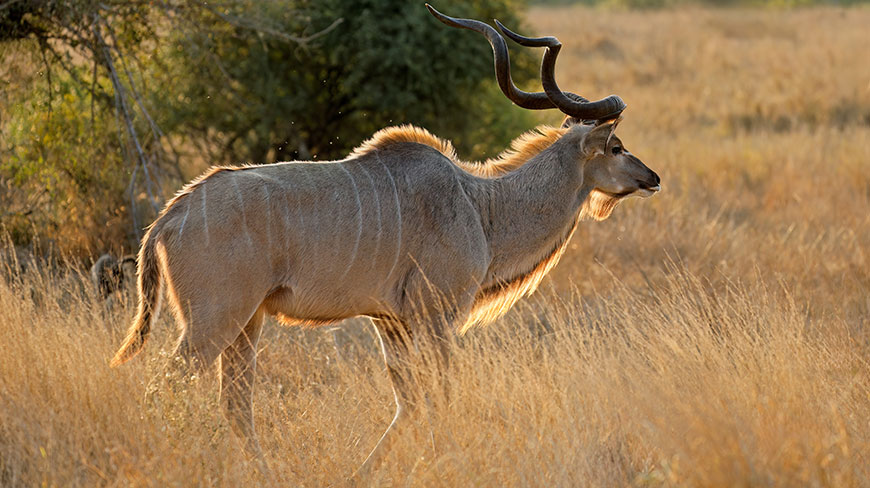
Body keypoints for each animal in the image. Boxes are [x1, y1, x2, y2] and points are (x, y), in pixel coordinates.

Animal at [109, 5, 660, 477]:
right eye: (615, 146)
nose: (652, 178)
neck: (480, 206)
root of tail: (171, 215)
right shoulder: (438, 316)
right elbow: (439, 395)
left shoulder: (389, 322)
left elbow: (409, 401)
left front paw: (364, 471)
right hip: (214, 322)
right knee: (166, 388)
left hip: (248, 323)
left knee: (234, 404)